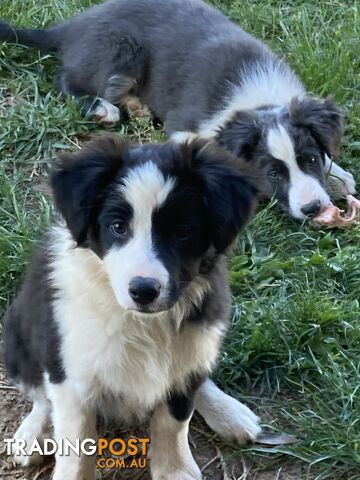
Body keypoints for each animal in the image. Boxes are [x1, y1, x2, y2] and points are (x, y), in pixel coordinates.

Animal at [0, 0, 354, 218]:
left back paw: (136, 106)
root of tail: (73, 25)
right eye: (273, 174)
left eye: (310, 159)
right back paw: (103, 108)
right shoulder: (187, 125)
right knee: (65, 78)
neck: (257, 104)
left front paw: (340, 176)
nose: (313, 208)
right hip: (121, 51)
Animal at [4, 136, 260, 480]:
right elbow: (76, 440)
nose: (143, 290)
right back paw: (32, 433)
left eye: (183, 231)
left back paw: (228, 411)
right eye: (117, 227)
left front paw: (175, 470)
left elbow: (174, 420)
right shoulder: (72, 371)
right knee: (41, 395)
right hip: (17, 335)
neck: (140, 322)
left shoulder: (195, 337)